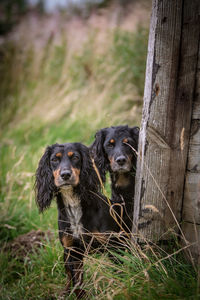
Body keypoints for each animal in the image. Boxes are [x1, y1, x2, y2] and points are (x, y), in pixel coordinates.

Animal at [35, 143, 119, 298]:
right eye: (54, 159)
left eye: (75, 157)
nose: (65, 175)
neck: (73, 204)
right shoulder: (73, 250)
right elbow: (77, 280)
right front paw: (80, 295)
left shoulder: (113, 245)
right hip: (65, 254)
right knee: (68, 276)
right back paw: (64, 292)